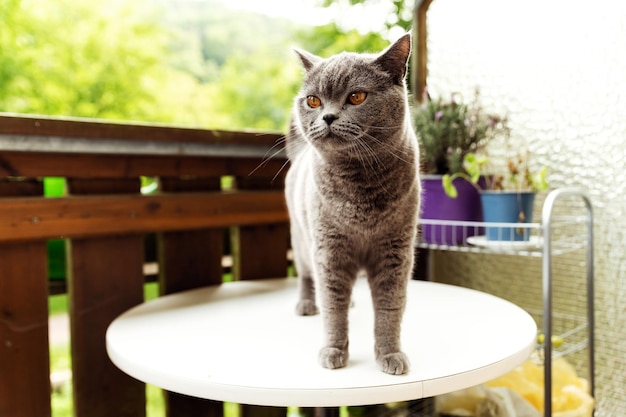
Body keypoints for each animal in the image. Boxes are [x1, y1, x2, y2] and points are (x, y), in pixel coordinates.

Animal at [284, 35, 420, 374]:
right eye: (313, 101)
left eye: (357, 97)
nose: (328, 116)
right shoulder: (329, 252)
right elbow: (334, 309)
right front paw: (333, 351)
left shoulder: (395, 253)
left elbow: (389, 310)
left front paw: (390, 354)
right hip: (301, 240)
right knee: (307, 276)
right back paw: (307, 303)